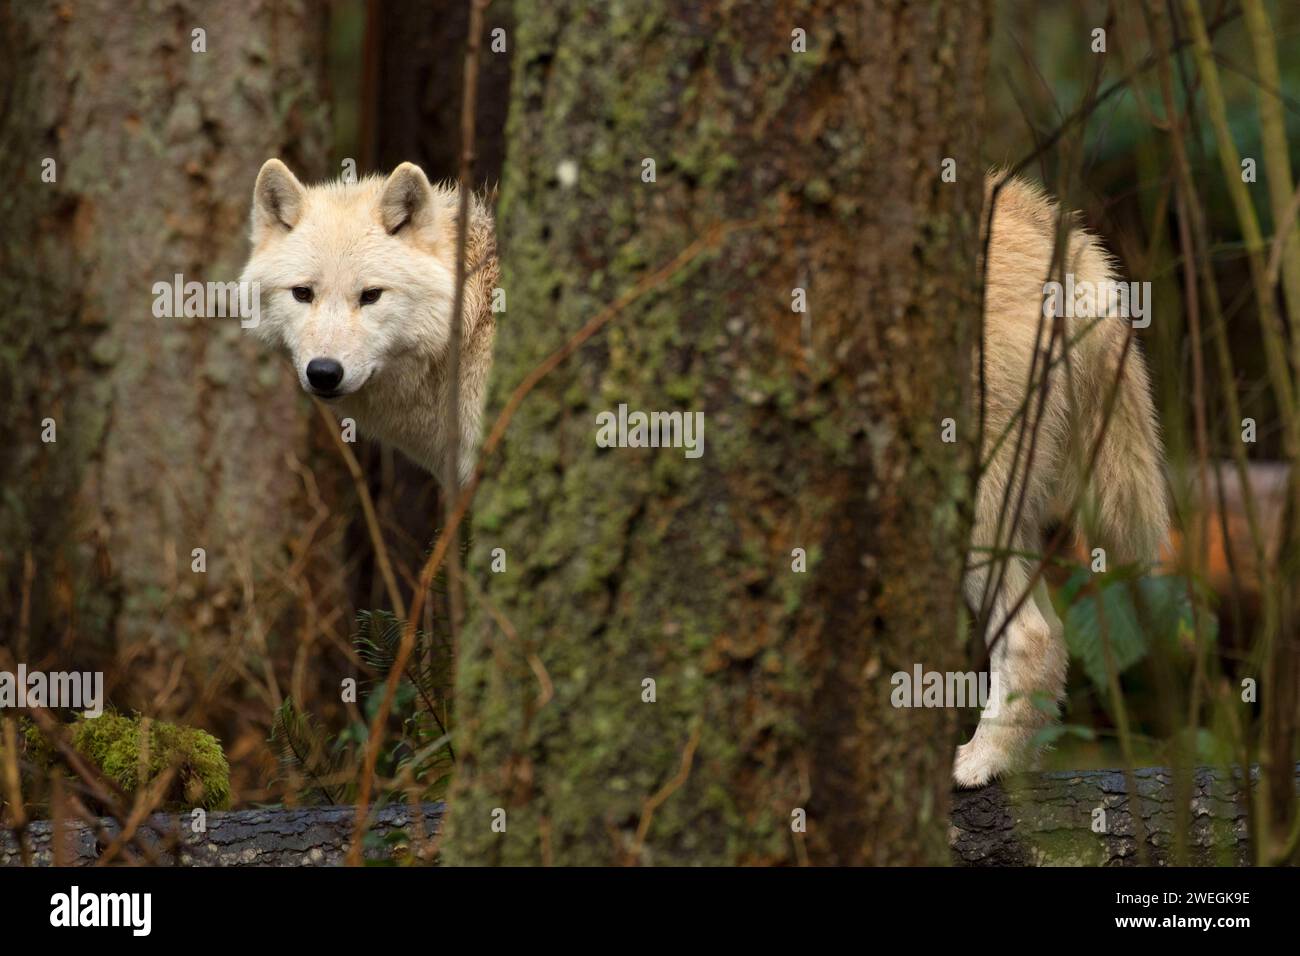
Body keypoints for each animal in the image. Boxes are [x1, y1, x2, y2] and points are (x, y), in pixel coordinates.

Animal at [239, 160, 1164, 790]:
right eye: (303, 294)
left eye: (370, 297)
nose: (323, 373)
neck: (476, 320)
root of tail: (1064, 231)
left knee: (1038, 639)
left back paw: (977, 765)